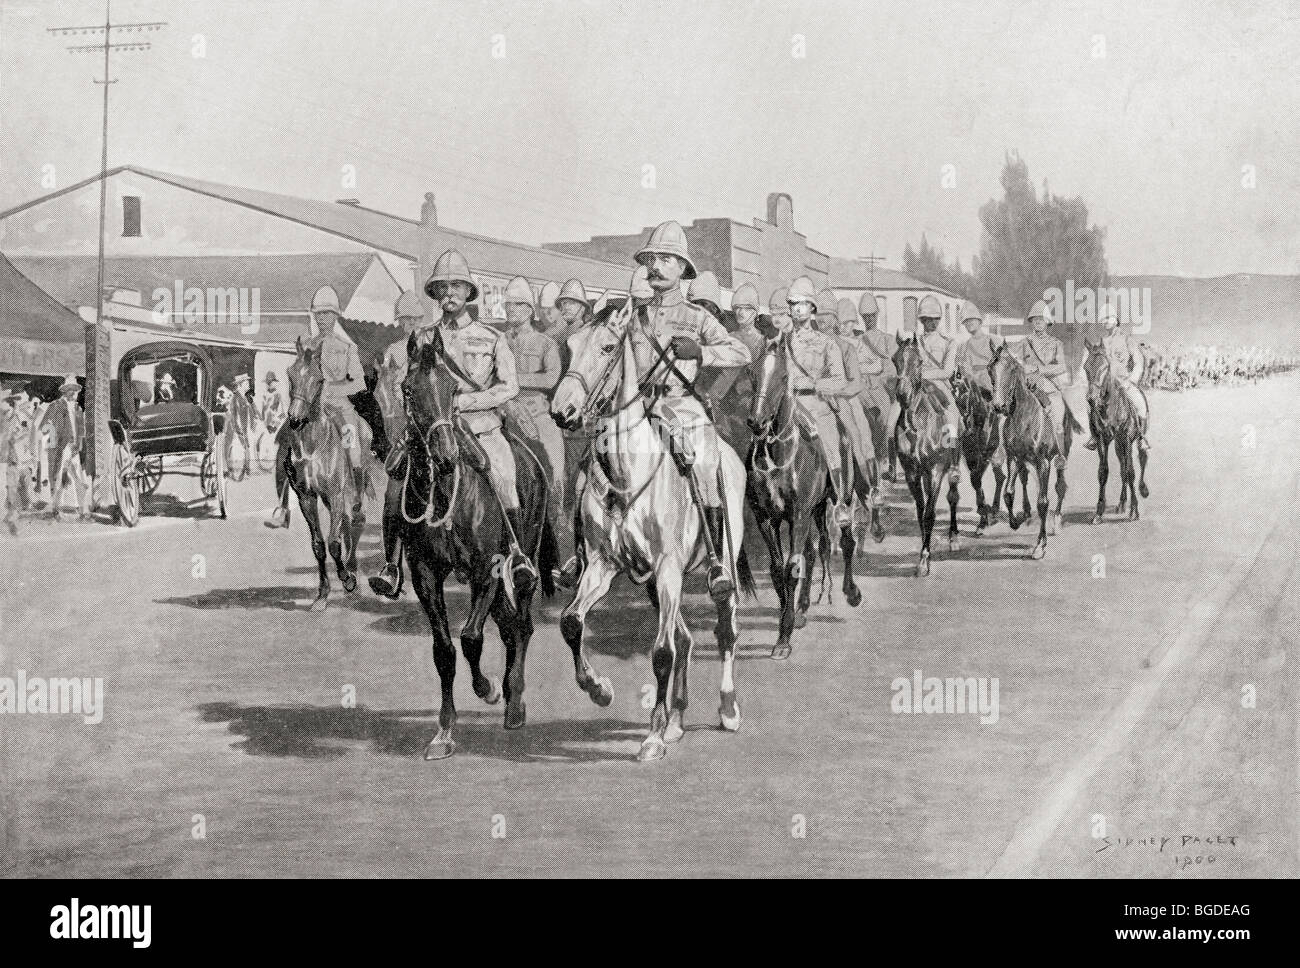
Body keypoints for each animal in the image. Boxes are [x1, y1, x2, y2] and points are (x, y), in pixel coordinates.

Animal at [275, 340, 369, 608]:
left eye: (319, 380)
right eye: (290, 374)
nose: (295, 419)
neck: (313, 446)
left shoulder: (336, 493)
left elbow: (333, 543)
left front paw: (347, 579)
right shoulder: (307, 497)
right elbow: (318, 545)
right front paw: (322, 594)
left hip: (353, 489)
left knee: (356, 520)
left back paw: (352, 573)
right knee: (346, 522)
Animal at [548, 301, 754, 764]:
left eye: (607, 348)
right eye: (569, 347)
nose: (561, 410)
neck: (626, 472)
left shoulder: (668, 567)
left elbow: (661, 652)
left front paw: (652, 737)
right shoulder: (603, 565)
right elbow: (571, 622)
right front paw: (599, 689)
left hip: (717, 564)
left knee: (724, 630)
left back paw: (728, 709)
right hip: (653, 584)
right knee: (685, 638)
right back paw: (677, 718)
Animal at [894, 332, 967, 574]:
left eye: (919, 361)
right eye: (895, 359)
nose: (902, 394)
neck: (918, 425)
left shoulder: (935, 470)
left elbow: (929, 513)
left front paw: (925, 558)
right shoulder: (912, 473)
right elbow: (920, 512)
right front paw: (924, 552)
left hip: (951, 465)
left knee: (953, 496)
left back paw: (953, 537)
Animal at [987, 345, 1071, 558]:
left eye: (1012, 369)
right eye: (990, 369)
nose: (999, 406)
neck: (1023, 417)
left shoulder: (1043, 462)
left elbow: (1043, 502)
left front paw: (1040, 545)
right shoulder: (1014, 458)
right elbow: (1009, 493)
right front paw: (1015, 522)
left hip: (1060, 456)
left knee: (1060, 485)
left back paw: (1057, 521)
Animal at [1076, 340, 1149, 522]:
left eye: (1105, 367)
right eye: (1086, 367)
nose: (1091, 399)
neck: (1110, 410)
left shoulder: (1127, 437)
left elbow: (1131, 471)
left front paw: (1134, 510)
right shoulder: (1103, 439)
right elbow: (1104, 472)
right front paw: (1099, 512)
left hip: (1134, 439)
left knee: (1141, 458)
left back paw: (1143, 490)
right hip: (1118, 444)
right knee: (1122, 467)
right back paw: (1122, 503)